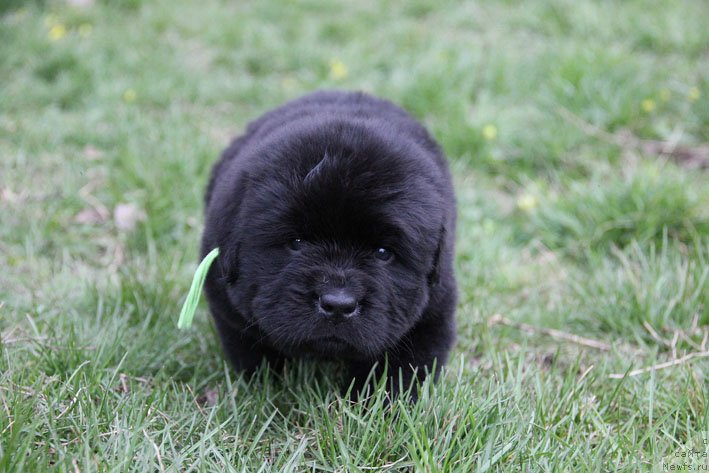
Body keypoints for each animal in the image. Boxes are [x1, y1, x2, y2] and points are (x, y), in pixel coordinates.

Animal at [201, 90, 454, 396]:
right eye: (296, 242)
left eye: (383, 252)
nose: (338, 305)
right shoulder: (227, 307)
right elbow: (255, 356)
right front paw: (268, 393)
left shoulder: (432, 314)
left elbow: (401, 369)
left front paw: (375, 404)